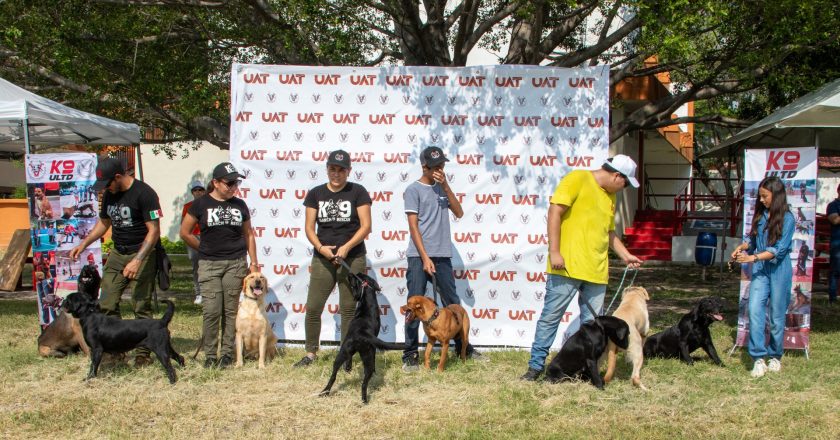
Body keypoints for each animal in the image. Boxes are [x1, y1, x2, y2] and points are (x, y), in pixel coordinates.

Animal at [318, 274, 404, 404]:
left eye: (356, 278)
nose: (350, 274)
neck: (368, 302)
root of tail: (362, 333)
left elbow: (349, 359)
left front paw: (348, 367)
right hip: (366, 359)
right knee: (364, 382)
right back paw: (363, 399)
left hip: (342, 353)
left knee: (334, 376)